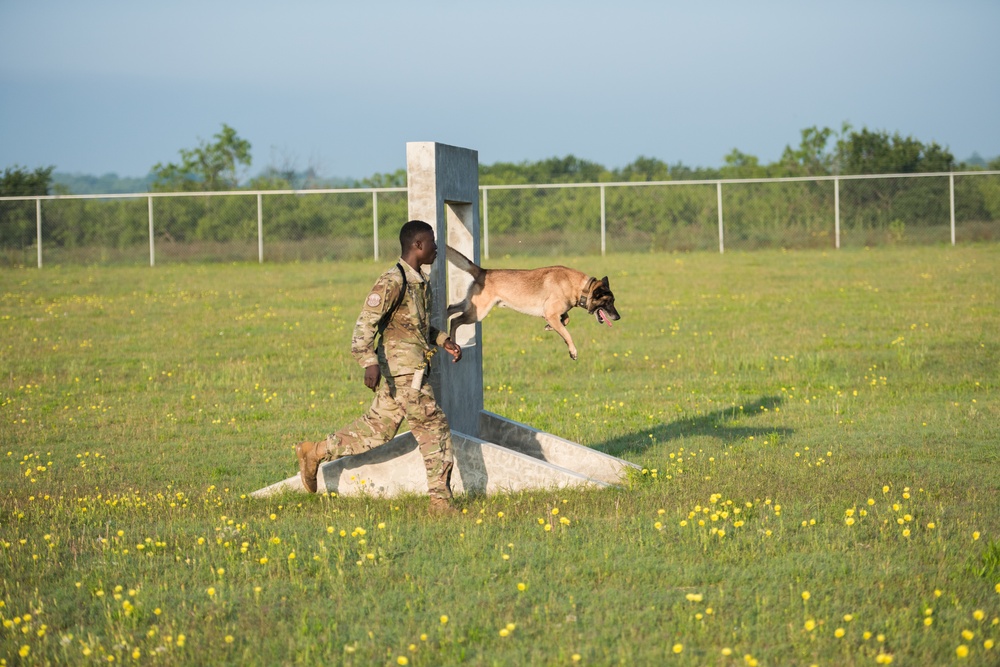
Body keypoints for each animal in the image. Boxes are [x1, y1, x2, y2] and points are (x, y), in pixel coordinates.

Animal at [446, 245, 616, 360]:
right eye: (608, 302)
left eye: (613, 301)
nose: (618, 317)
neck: (580, 287)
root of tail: (483, 271)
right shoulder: (551, 313)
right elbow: (567, 333)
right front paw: (573, 351)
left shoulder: (554, 314)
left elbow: (566, 320)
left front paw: (550, 327)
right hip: (478, 313)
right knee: (455, 320)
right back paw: (453, 342)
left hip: (470, 305)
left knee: (451, 308)